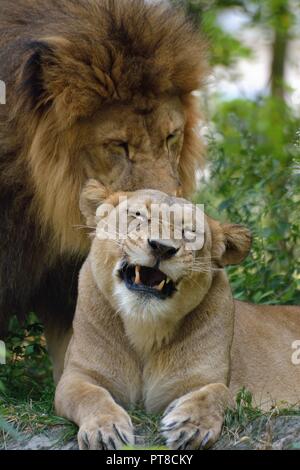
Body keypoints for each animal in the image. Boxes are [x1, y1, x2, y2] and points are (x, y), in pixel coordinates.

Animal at [54, 182, 300, 450]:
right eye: (139, 215)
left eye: (190, 232)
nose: (162, 247)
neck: (144, 329)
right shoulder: (78, 374)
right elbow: (90, 395)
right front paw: (105, 430)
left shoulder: (206, 379)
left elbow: (215, 394)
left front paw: (190, 426)